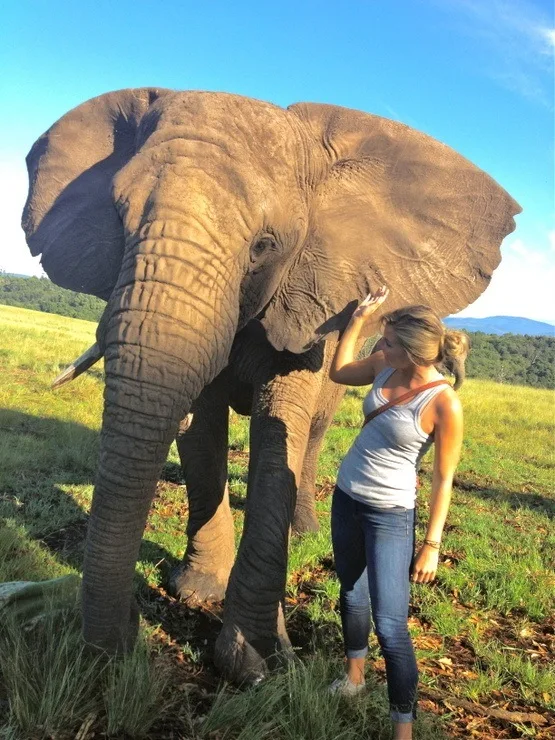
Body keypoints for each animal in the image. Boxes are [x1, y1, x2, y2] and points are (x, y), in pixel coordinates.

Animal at [22, 88, 520, 682]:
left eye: (264, 245)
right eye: (120, 219)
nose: (124, 642)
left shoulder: (310, 304)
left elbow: (279, 431)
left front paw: (257, 660)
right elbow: (202, 430)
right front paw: (197, 593)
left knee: (313, 436)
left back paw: (304, 530)